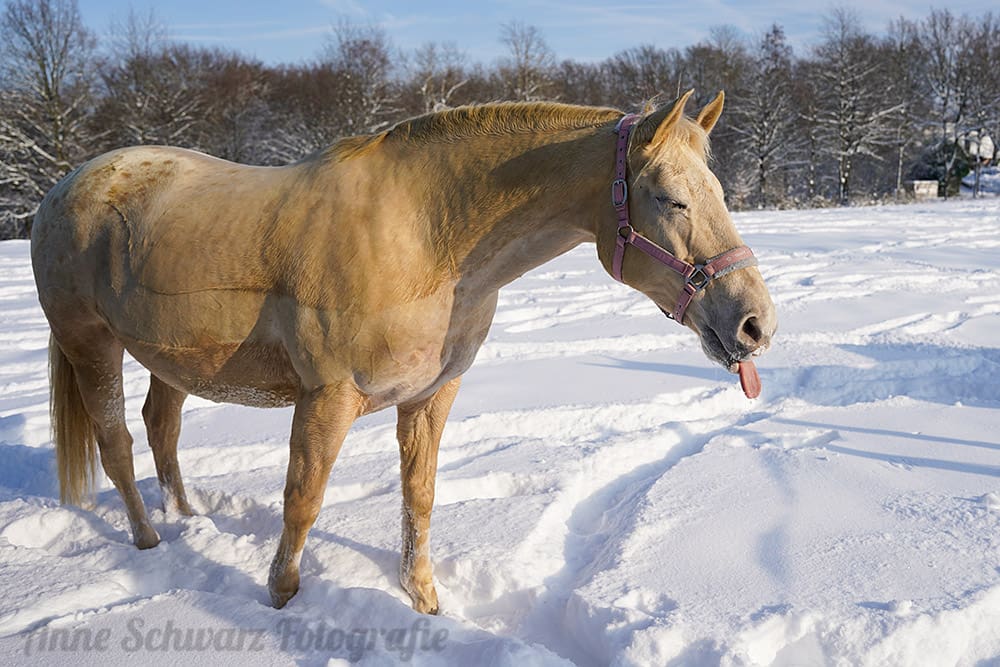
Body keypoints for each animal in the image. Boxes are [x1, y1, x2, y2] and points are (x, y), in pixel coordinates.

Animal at [30, 90, 776, 613]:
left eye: (717, 193)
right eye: (671, 199)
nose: (755, 324)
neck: (424, 236)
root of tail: (62, 189)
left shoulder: (429, 395)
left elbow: (419, 497)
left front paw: (423, 600)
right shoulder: (326, 397)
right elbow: (303, 499)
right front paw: (281, 594)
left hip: (171, 355)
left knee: (162, 428)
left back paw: (186, 518)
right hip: (90, 343)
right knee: (116, 443)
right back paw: (148, 539)